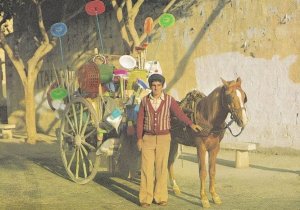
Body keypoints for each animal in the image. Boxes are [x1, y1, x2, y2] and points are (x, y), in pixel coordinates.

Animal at [169, 77, 248, 208]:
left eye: (244, 96)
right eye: (230, 97)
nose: (244, 121)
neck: (208, 118)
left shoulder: (215, 148)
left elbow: (212, 171)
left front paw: (214, 196)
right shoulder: (201, 147)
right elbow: (202, 172)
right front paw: (204, 198)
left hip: (174, 143)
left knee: (169, 163)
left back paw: (175, 187)